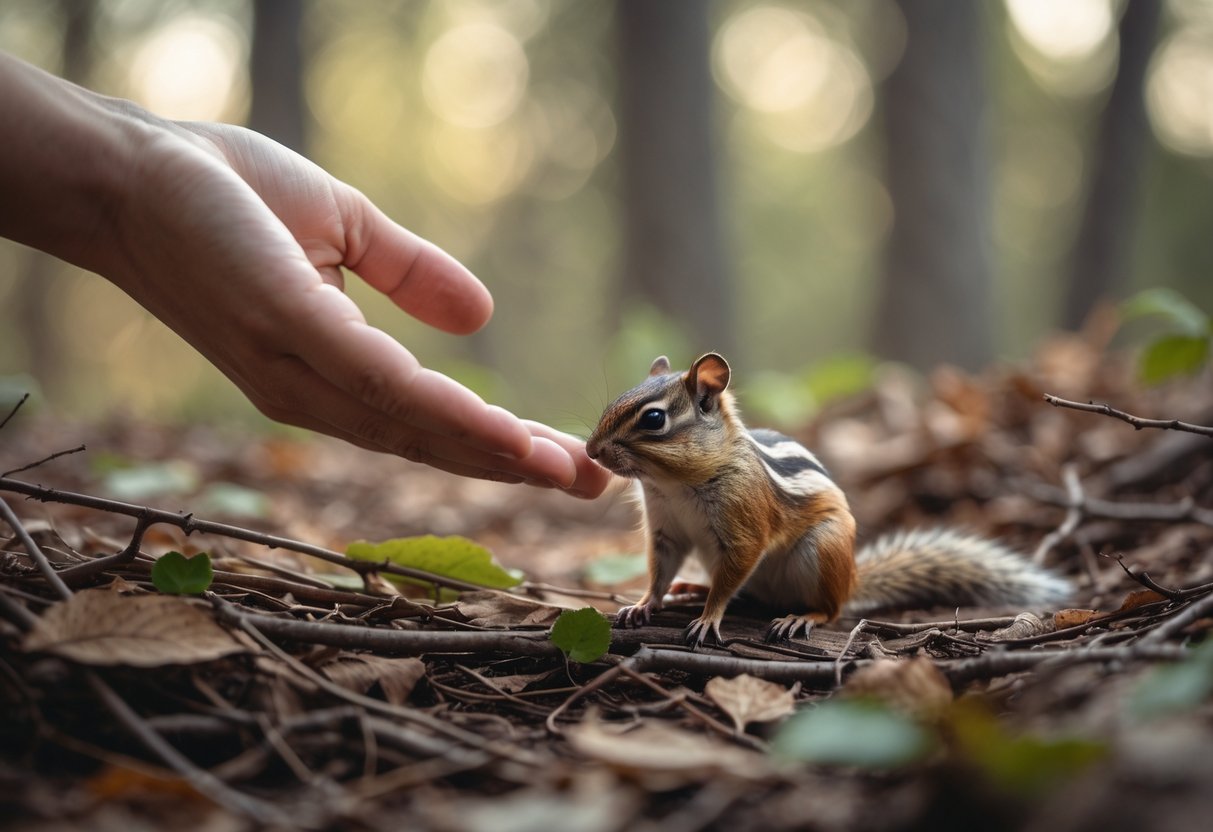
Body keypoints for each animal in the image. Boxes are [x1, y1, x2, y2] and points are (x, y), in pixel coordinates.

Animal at [586, 353, 1071, 647]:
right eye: (615, 402)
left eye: (653, 419)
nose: (591, 451)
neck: (674, 483)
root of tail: (852, 578)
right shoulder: (666, 528)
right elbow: (660, 570)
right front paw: (646, 603)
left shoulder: (744, 526)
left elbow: (736, 570)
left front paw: (709, 616)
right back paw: (694, 587)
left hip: (822, 550)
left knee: (830, 609)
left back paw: (801, 617)